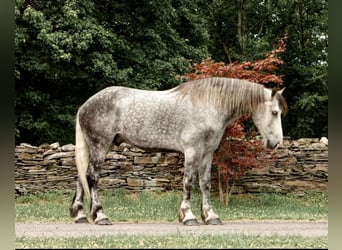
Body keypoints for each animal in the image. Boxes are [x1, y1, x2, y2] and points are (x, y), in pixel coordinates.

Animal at [69, 77, 286, 226]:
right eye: (274, 112)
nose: (276, 142)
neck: (210, 105)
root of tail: (85, 106)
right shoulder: (192, 151)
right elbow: (188, 182)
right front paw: (188, 216)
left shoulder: (207, 153)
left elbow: (205, 183)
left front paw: (210, 216)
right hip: (100, 146)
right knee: (92, 177)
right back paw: (100, 216)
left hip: (94, 148)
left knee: (82, 177)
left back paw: (80, 215)